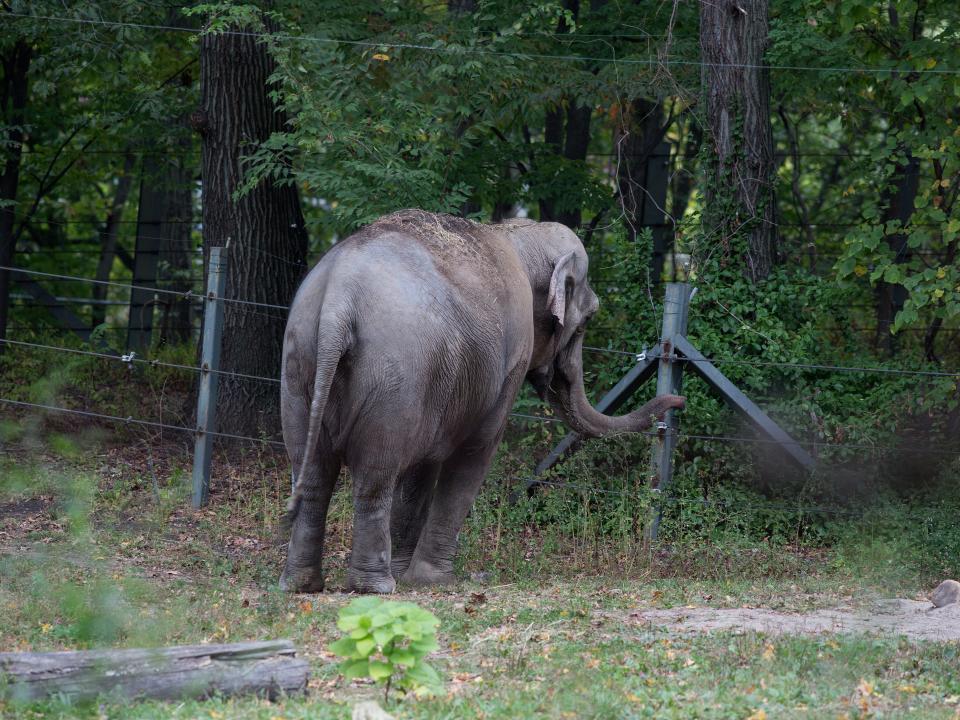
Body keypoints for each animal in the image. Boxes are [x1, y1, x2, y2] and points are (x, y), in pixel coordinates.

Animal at [278, 208, 684, 592]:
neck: (518, 235)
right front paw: (434, 580)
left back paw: (302, 583)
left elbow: (423, 467)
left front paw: (409, 574)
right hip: (393, 378)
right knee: (375, 475)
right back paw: (373, 586)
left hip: (299, 366)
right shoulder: (510, 357)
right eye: (587, 320)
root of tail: (339, 301)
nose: (676, 401)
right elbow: (475, 450)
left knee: (312, 472)